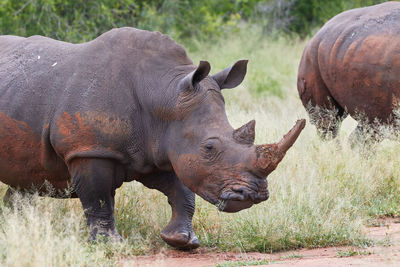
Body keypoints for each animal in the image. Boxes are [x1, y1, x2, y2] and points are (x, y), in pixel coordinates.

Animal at [0, 27, 306, 249]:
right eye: (209, 147)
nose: (254, 195)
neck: (163, 94)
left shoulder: (160, 147)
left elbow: (182, 190)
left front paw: (181, 241)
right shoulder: (90, 149)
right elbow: (98, 199)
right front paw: (111, 246)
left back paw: (13, 229)